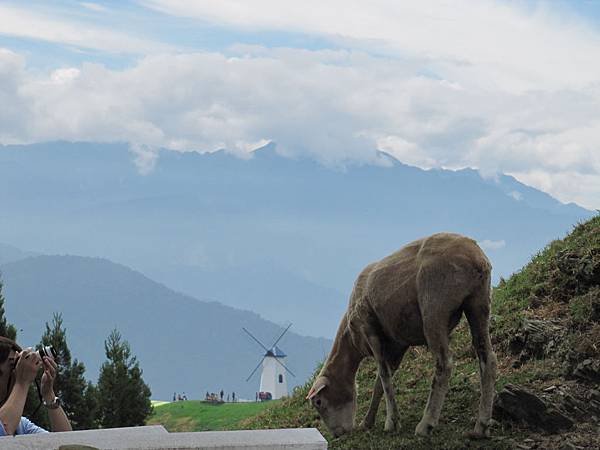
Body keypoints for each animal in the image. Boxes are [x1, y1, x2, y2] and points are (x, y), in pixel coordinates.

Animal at [308, 234, 494, 438]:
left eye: (319, 402)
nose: (336, 435)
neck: (352, 339)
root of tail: (475, 256)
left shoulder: (369, 329)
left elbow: (383, 376)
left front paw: (391, 422)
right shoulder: (397, 344)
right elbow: (381, 382)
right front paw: (368, 422)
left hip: (434, 309)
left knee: (444, 364)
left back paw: (426, 424)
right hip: (478, 303)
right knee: (488, 358)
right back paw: (481, 425)